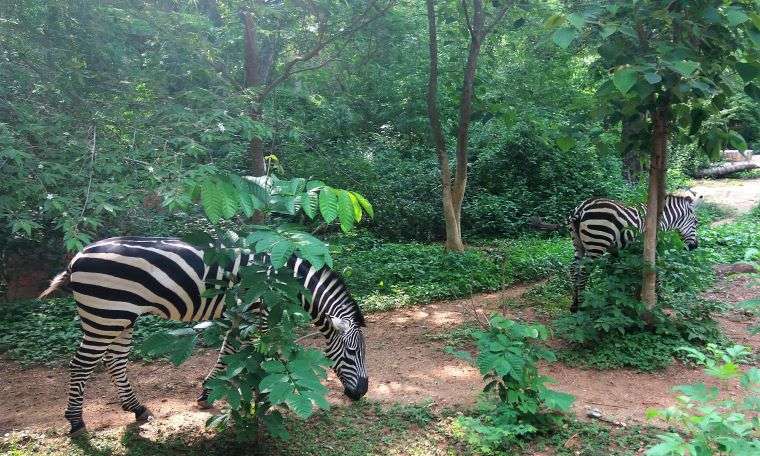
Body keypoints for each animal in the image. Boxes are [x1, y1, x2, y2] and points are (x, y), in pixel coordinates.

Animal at [38, 237, 368, 436]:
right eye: (353, 353)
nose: (361, 393)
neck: (281, 277)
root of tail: (77, 257)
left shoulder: (237, 313)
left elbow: (229, 351)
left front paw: (209, 391)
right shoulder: (256, 310)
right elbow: (253, 353)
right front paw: (257, 394)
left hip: (120, 317)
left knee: (115, 361)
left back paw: (137, 409)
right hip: (105, 314)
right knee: (82, 365)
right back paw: (76, 421)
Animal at [568, 192, 704, 314]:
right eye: (696, 222)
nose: (695, 246)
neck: (663, 217)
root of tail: (581, 208)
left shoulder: (622, 250)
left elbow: (620, 272)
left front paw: (627, 295)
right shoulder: (655, 245)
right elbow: (655, 272)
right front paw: (658, 297)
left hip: (578, 244)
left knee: (574, 269)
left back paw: (574, 305)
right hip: (597, 244)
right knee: (584, 272)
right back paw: (582, 305)